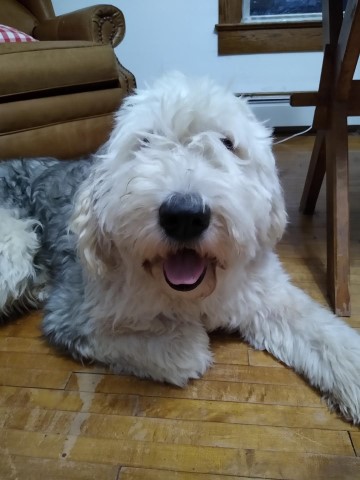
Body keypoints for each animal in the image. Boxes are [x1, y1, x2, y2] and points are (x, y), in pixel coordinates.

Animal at [0, 72, 358, 424]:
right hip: (14, 246)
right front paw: (186, 340)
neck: (192, 292)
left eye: (228, 143)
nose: (184, 216)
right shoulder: (73, 314)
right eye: (145, 141)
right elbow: (183, 348)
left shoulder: (265, 293)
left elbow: (320, 330)